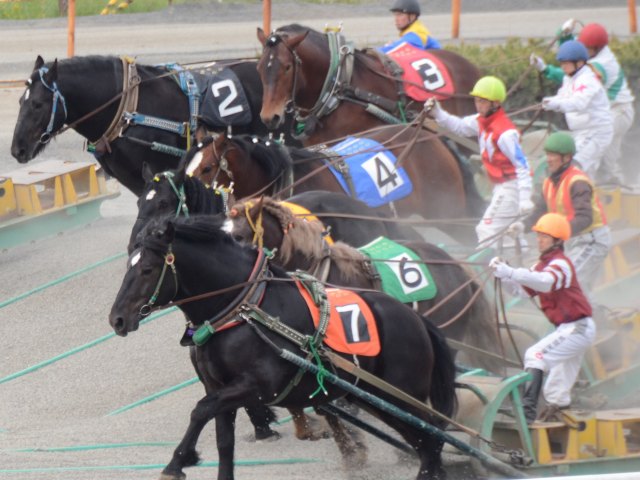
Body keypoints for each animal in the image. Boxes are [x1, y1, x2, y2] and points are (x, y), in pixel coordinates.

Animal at [109, 214, 457, 480]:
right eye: (128, 266)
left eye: (147, 269)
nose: (117, 319)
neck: (243, 310)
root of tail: (417, 320)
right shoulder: (220, 388)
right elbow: (223, 441)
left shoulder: (259, 386)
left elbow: (200, 410)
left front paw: (178, 461)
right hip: (376, 398)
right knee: (425, 443)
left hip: (403, 397)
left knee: (431, 443)